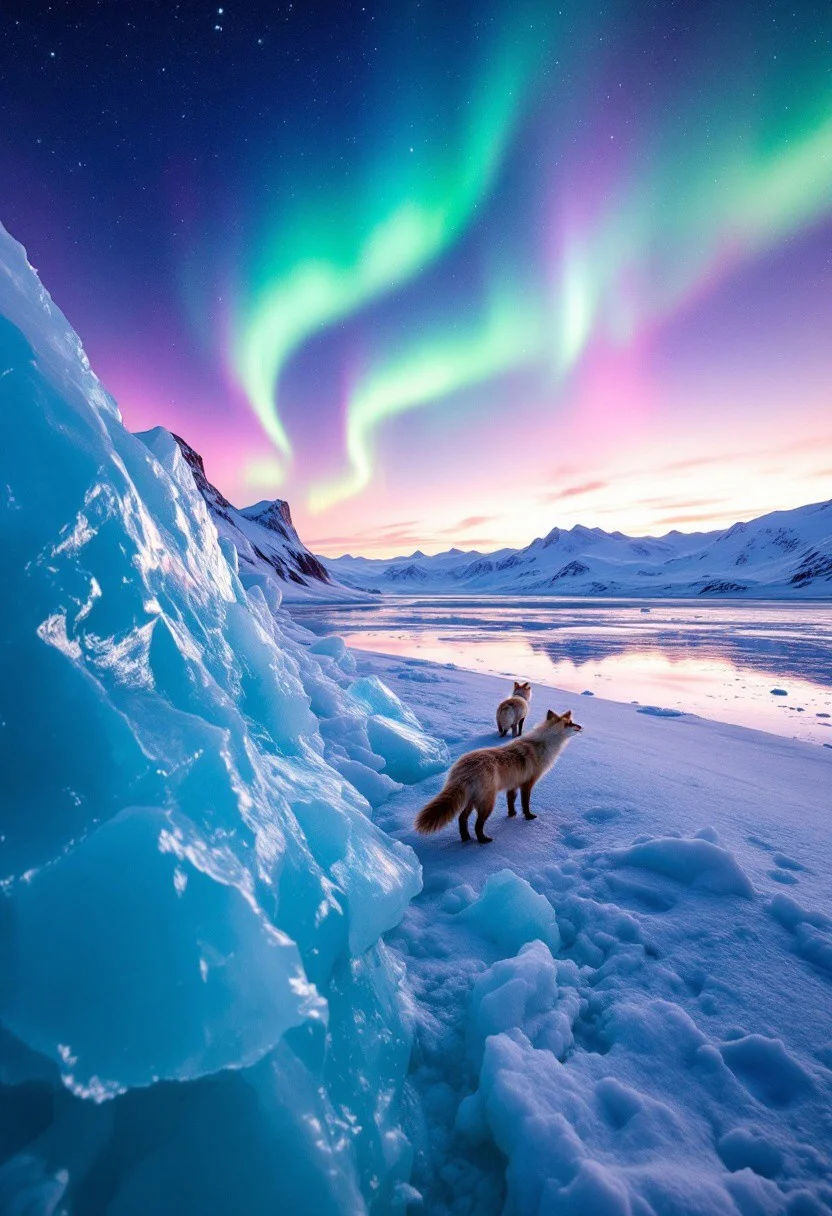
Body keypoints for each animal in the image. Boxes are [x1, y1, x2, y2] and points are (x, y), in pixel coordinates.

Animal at [415, 710, 582, 844]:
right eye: (569, 723)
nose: (581, 727)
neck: (543, 745)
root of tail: (463, 768)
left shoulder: (513, 784)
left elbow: (511, 802)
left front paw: (512, 815)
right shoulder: (527, 784)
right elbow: (525, 804)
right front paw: (528, 817)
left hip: (472, 800)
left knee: (462, 819)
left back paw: (466, 838)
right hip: (487, 803)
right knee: (477, 824)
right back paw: (482, 840)